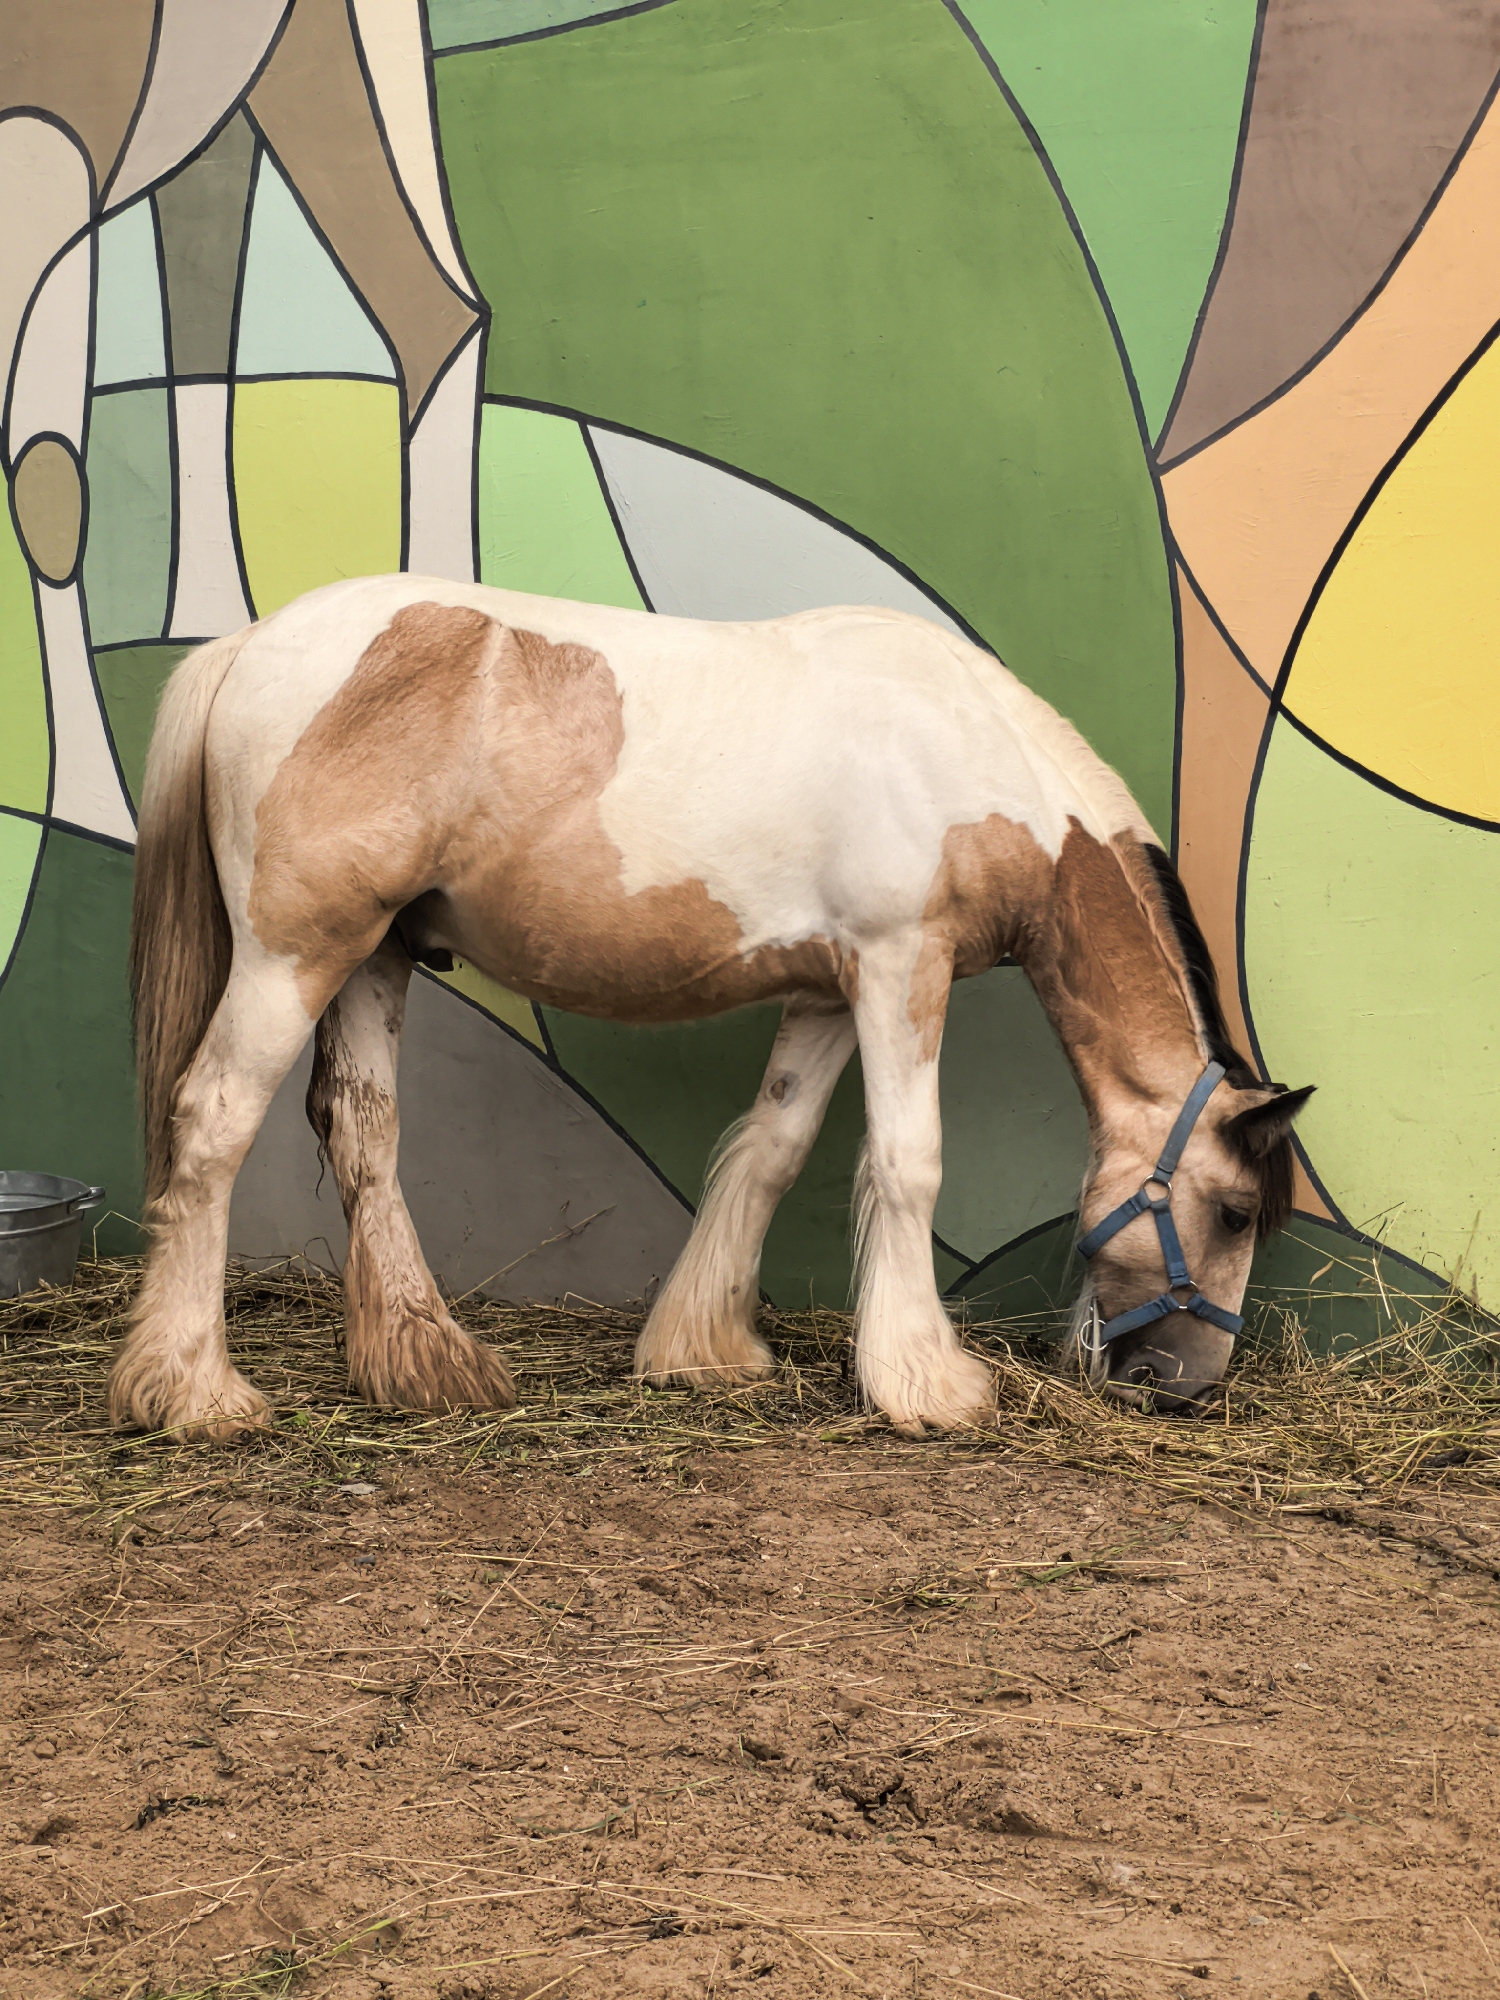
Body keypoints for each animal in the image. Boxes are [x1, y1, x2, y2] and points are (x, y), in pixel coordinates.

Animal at [109, 574, 1313, 1440]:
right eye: (1232, 1213)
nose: (1186, 1385)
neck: (966, 755)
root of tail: (250, 646)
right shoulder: (900, 967)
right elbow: (907, 1161)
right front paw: (927, 1383)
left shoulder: (827, 992)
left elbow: (772, 1150)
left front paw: (704, 1349)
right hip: (291, 957)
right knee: (212, 1123)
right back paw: (194, 1394)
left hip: (373, 957)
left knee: (363, 1130)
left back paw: (426, 1366)